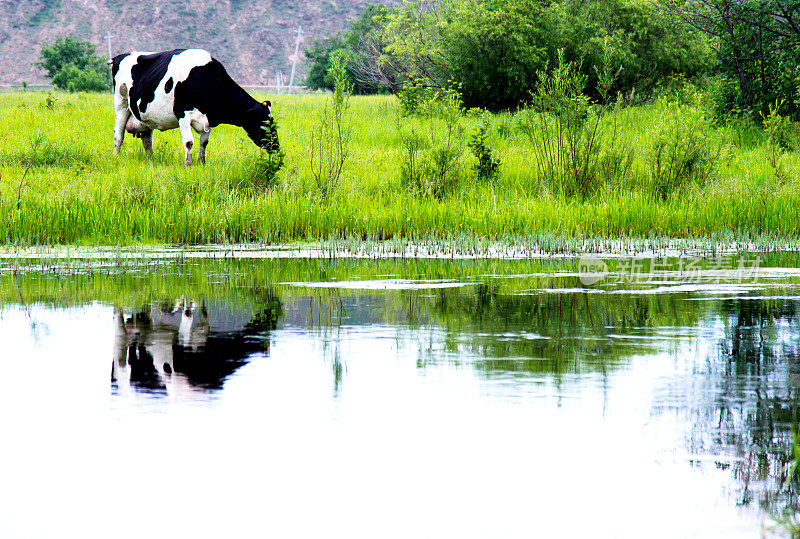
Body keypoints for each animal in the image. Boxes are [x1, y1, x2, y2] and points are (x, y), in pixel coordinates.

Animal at [109, 48, 278, 167]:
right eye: (263, 123)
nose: (276, 146)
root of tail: (120, 56)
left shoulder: (208, 119)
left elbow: (204, 142)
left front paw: (201, 162)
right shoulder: (183, 114)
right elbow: (189, 142)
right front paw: (188, 164)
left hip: (145, 115)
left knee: (146, 139)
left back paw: (151, 159)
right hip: (121, 103)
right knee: (119, 135)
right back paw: (116, 157)